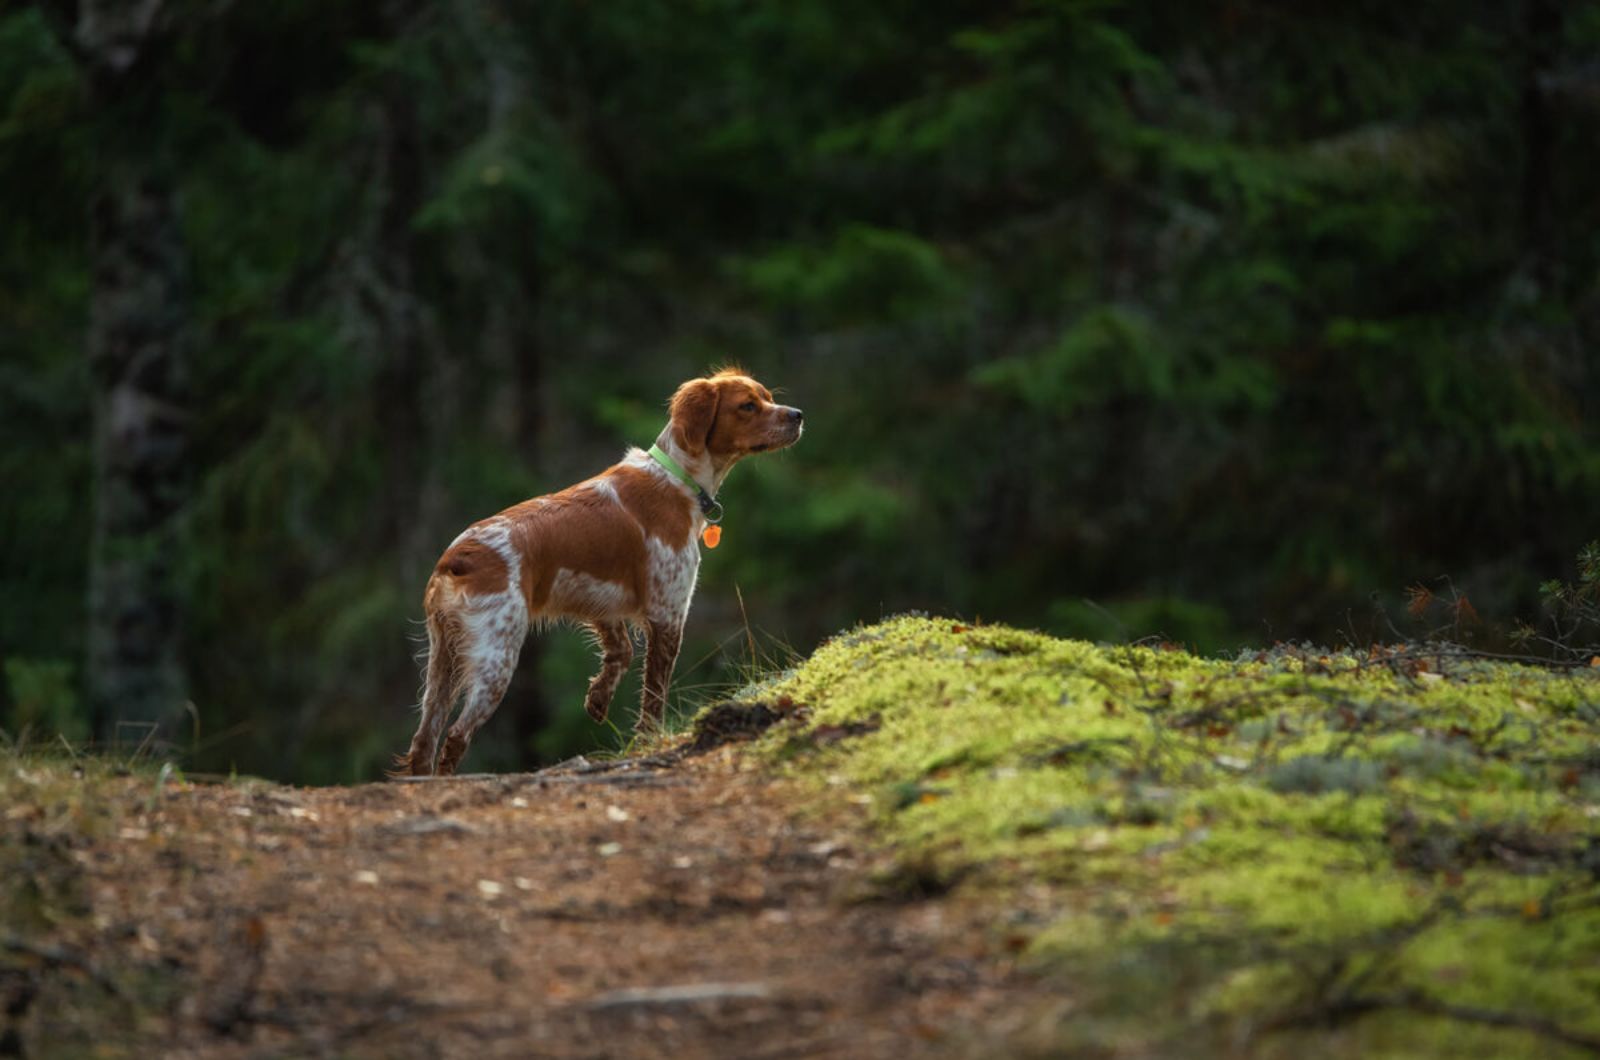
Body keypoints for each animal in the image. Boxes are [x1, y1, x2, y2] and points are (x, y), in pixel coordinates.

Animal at [395, 369, 806, 778]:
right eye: (748, 406)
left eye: (768, 397)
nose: (798, 414)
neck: (677, 478)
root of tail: (456, 557)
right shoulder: (668, 614)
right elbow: (653, 695)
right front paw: (648, 741)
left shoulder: (599, 601)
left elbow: (621, 651)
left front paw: (597, 698)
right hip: (496, 658)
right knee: (455, 737)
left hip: (441, 662)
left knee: (422, 741)